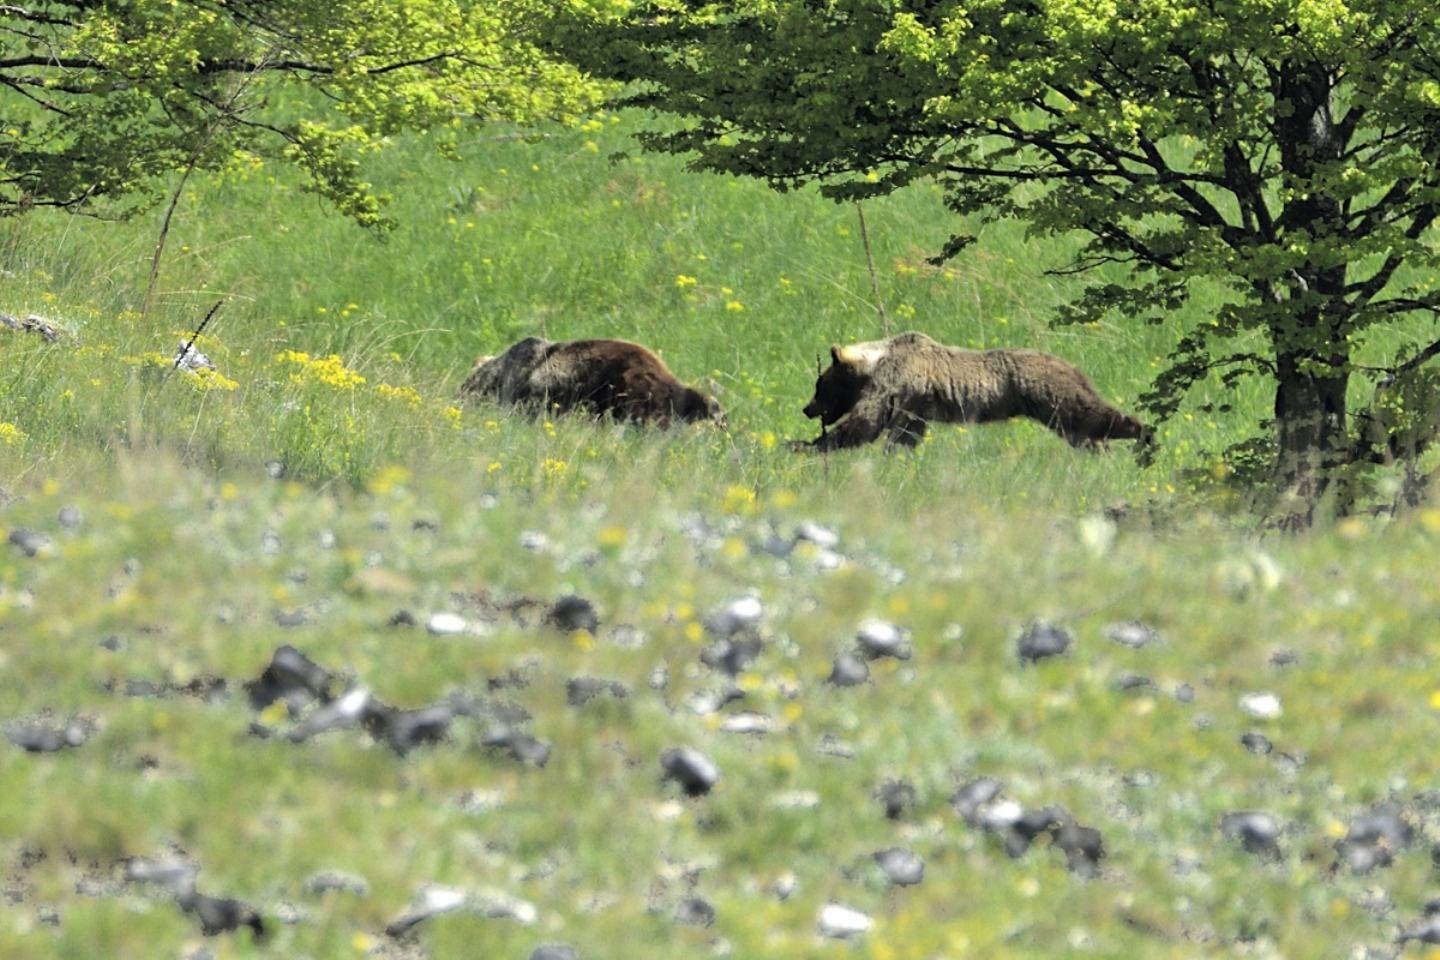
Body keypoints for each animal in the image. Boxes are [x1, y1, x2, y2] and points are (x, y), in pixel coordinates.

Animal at [789, 332, 1146, 451]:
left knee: (1090, 416)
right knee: (1083, 433)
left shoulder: (894, 383)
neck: (875, 363)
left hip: (1053, 394)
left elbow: (866, 422)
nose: (806, 408)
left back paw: (1142, 432)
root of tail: (1071, 366)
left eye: (820, 385)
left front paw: (802, 445)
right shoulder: (915, 404)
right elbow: (905, 434)